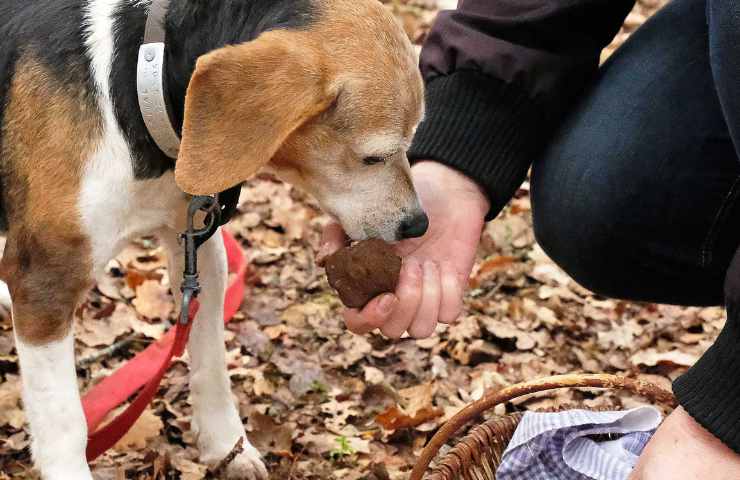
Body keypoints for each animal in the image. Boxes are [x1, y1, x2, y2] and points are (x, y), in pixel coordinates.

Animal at [0, 0, 424, 480]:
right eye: (374, 157)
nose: (419, 224)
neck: (135, 79)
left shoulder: (196, 249)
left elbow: (211, 362)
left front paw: (226, 445)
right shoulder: (45, 282)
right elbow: (65, 421)